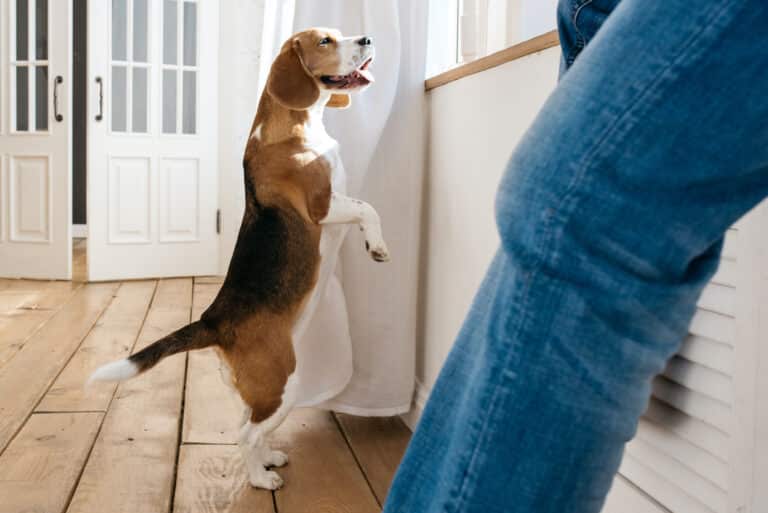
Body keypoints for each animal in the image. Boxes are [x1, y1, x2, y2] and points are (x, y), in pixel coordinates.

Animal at [90, 27, 390, 488]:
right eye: (325, 41)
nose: (367, 39)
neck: (295, 124)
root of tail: (213, 321)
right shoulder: (322, 206)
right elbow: (366, 207)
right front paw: (377, 245)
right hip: (283, 383)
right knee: (243, 434)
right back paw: (260, 479)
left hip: (263, 390)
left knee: (250, 427)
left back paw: (269, 459)